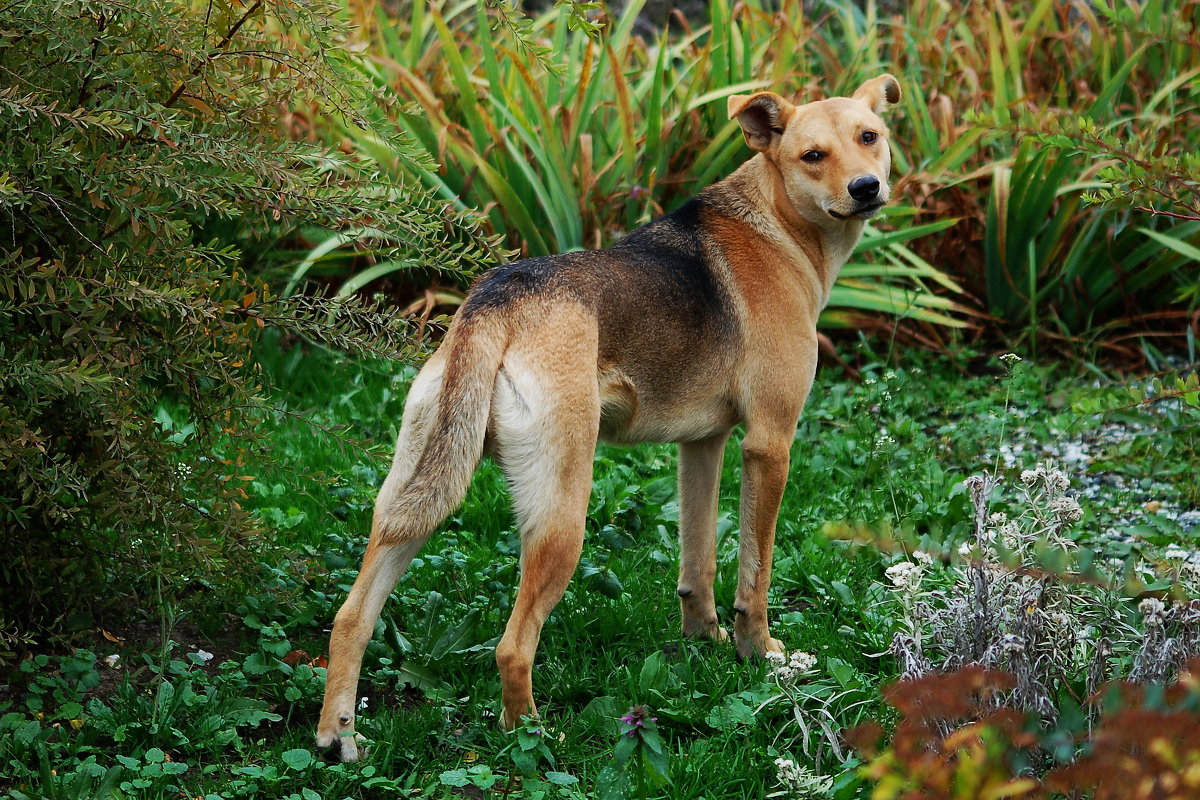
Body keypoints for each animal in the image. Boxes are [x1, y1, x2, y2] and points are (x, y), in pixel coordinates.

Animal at [319, 71, 902, 762]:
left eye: (870, 138)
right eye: (813, 155)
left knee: (352, 616)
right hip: (562, 517)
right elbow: (754, 576)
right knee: (511, 646)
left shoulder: (703, 446)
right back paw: (535, 737)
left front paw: (704, 642)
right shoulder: (769, 445)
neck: (776, 225)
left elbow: (699, 563)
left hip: (413, 498)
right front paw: (759, 655)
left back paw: (337, 735)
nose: (866, 188)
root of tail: (495, 299)